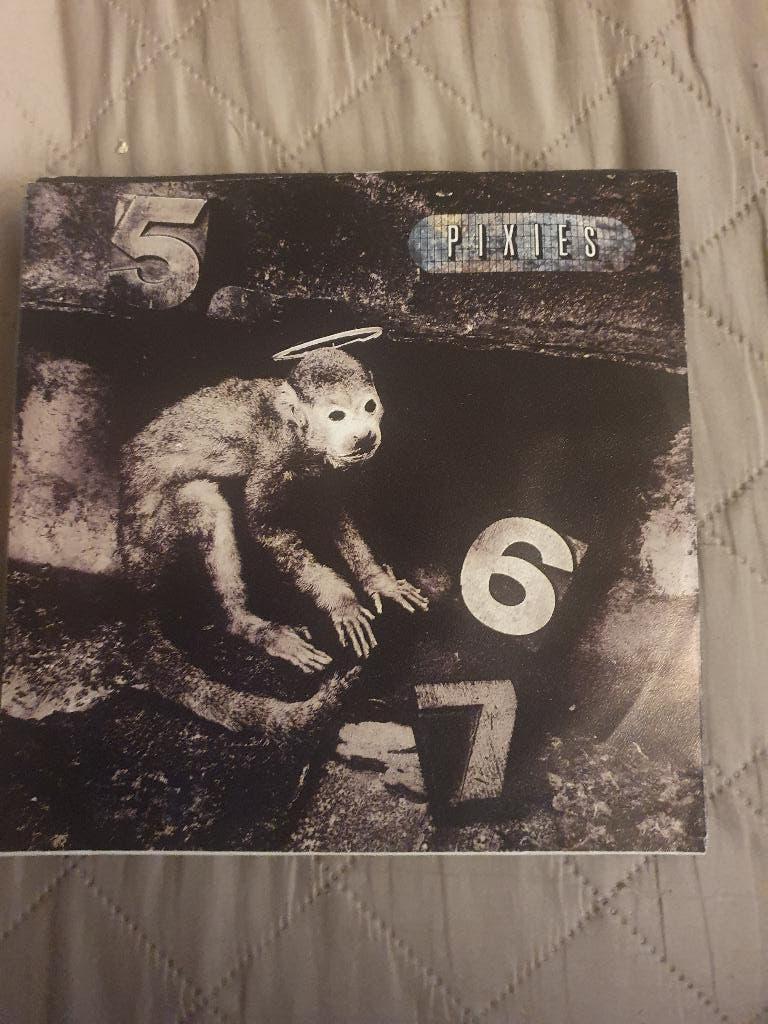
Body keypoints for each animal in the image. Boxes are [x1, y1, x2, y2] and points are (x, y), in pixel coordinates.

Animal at [117, 347, 428, 734]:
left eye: (369, 406)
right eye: (337, 416)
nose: (364, 435)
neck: (300, 436)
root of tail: (130, 583)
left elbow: (330, 510)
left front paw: (378, 581)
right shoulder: (274, 458)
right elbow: (265, 527)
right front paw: (342, 603)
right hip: (151, 549)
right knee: (205, 500)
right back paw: (246, 624)